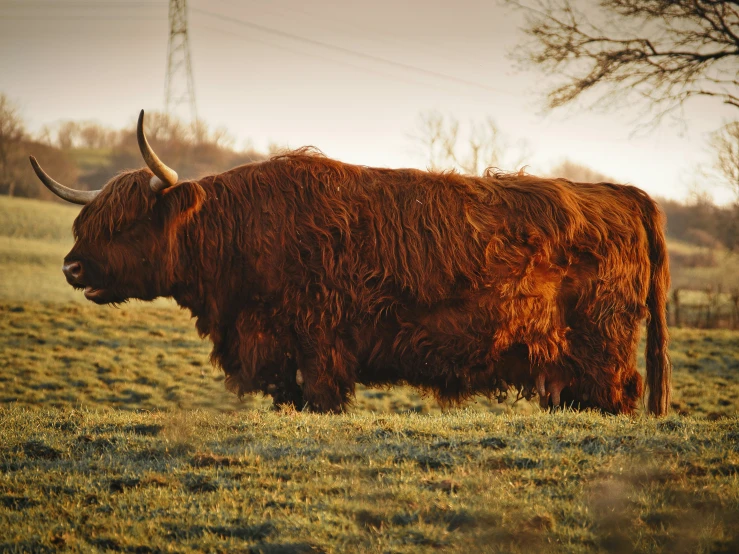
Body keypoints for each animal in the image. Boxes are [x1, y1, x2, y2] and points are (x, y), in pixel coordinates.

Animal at [31, 111, 672, 414]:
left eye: (126, 223)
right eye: (85, 224)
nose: (72, 269)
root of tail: (622, 192)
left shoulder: (320, 350)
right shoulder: (276, 355)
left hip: (601, 352)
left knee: (624, 394)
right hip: (567, 371)